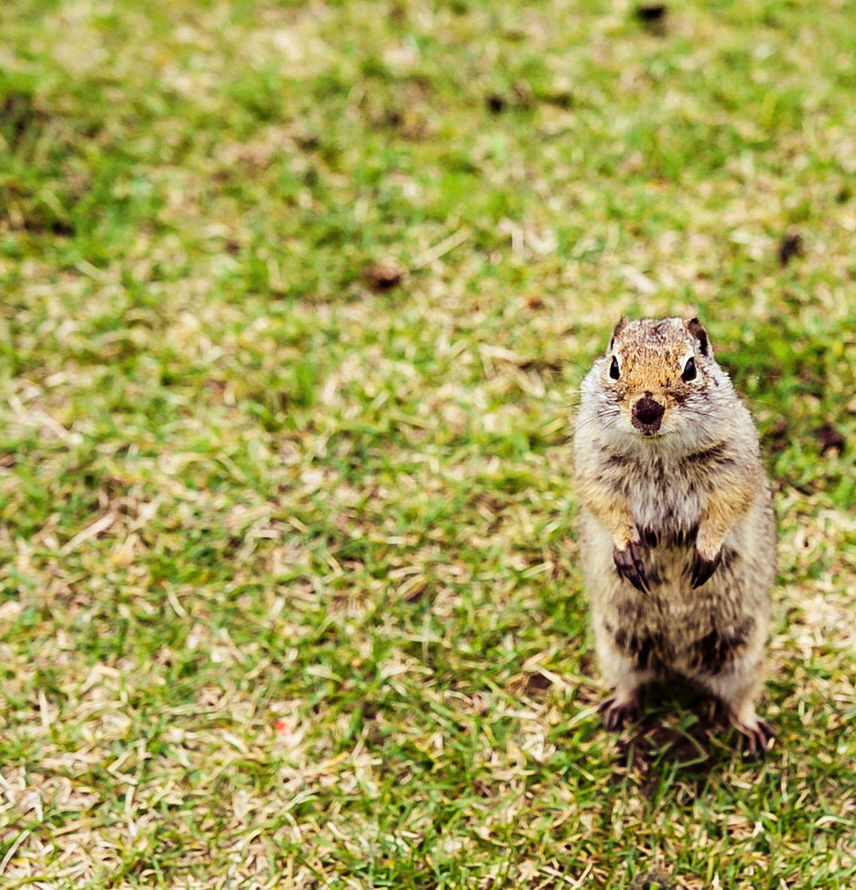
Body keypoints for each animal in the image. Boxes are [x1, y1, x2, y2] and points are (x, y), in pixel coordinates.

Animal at [576, 316, 776, 752]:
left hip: (742, 651)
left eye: (689, 368)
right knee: (630, 683)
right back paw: (618, 709)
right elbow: (605, 505)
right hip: (618, 646)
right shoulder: (594, 464)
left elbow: (726, 507)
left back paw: (752, 730)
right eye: (614, 366)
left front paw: (706, 553)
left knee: (740, 697)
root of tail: (680, 660)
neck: (658, 453)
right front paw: (627, 551)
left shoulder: (735, 466)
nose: (647, 409)